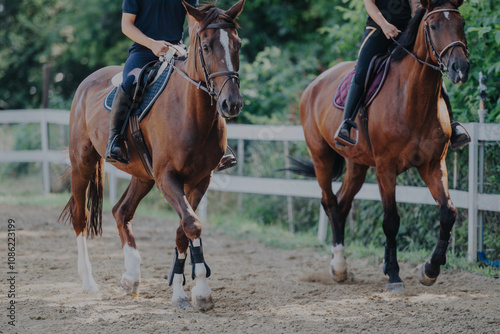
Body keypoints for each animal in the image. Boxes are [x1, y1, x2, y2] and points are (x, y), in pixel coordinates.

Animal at [59, 0, 246, 310]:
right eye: (206, 46)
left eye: (238, 44)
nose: (231, 103)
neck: (190, 112)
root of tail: (88, 81)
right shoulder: (167, 178)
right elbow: (192, 224)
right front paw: (200, 291)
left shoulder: (200, 179)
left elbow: (183, 229)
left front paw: (183, 291)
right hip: (82, 164)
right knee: (80, 218)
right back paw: (89, 282)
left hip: (142, 175)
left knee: (121, 211)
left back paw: (131, 276)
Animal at [296, 0, 468, 292]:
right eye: (434, 26)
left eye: (461, 23)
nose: (460, 68)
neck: (413, 97)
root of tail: (314, 84)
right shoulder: (386, 168)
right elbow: (391, 221)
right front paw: (395, 276)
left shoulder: (434, 165)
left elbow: (448, 212)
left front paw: (430, 270)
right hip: (321, 158)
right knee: (329, 202)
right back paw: (339, 267)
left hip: (356, 165)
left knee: (342, 204)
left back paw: (344, 268)